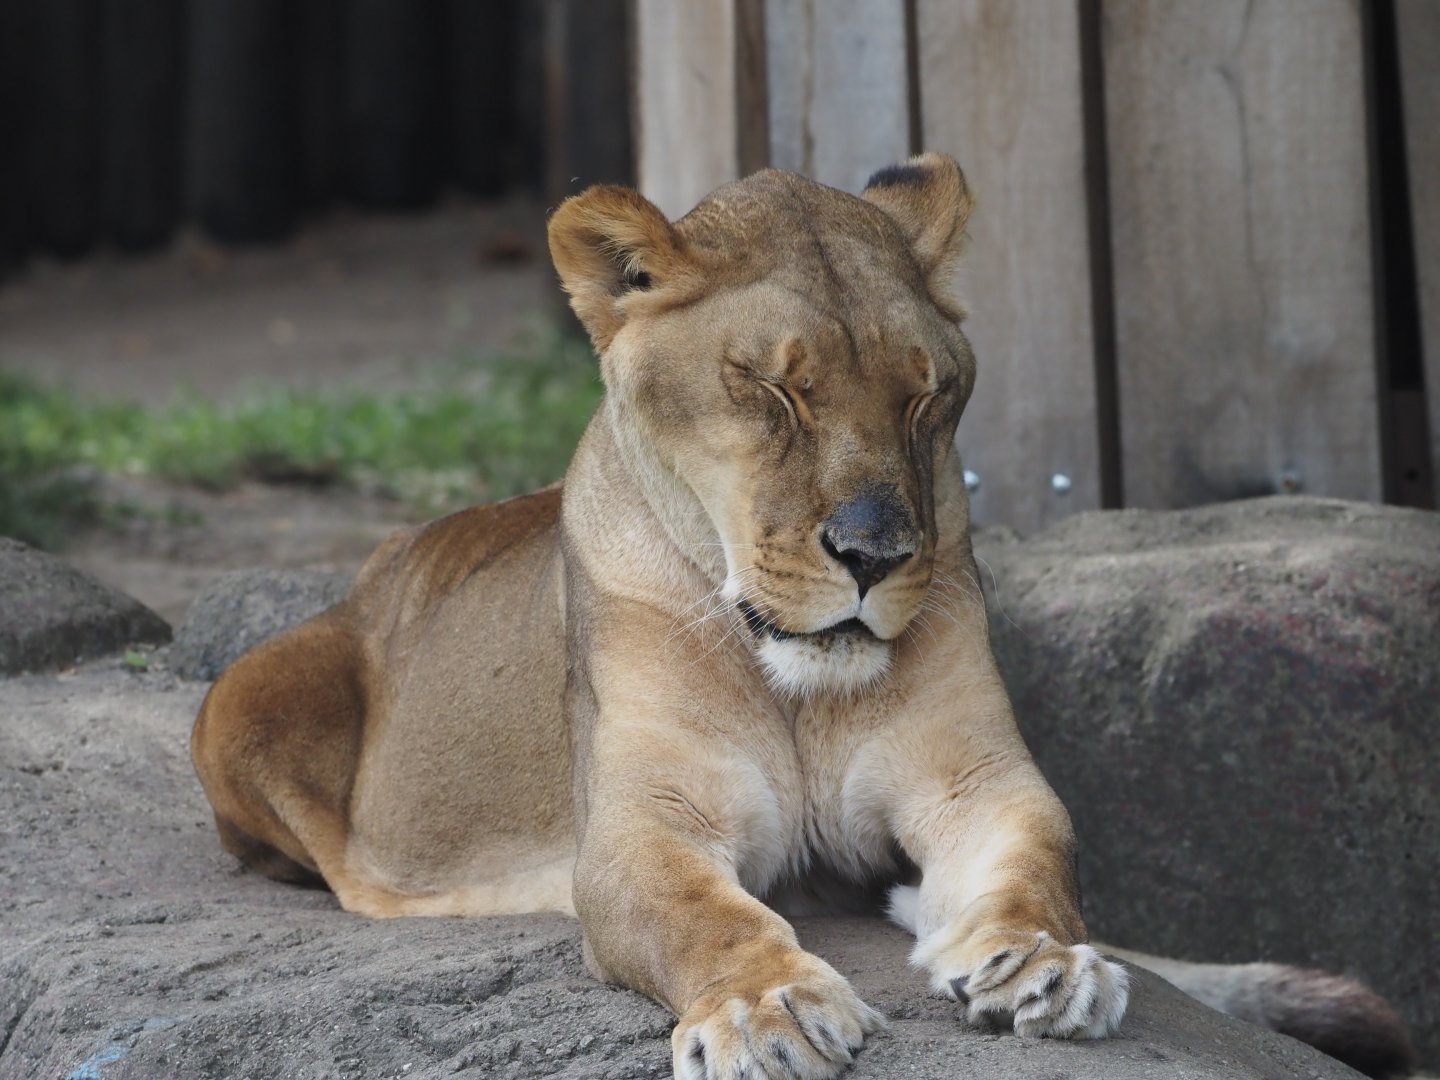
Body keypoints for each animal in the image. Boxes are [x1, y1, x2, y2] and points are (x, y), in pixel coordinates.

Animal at [191, 155, 1414, 1079]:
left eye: (928, 394)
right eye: (773, 389)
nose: (875, 555)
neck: (797, 687)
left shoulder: (976, 781)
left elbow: (1039, 864)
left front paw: (1039, 963)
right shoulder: (642, 824)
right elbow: (705, 914)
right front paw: (766, 1009)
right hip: (243, 698)